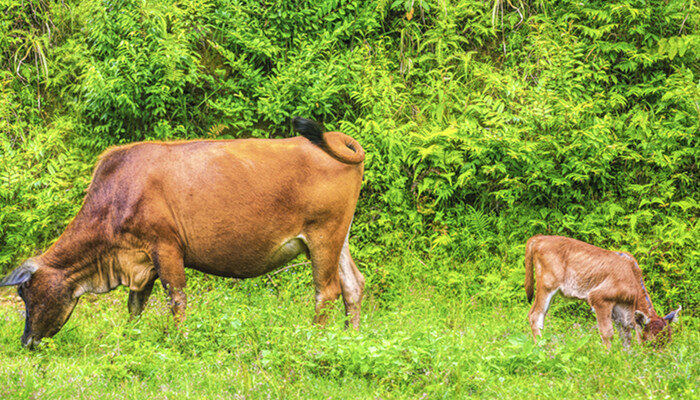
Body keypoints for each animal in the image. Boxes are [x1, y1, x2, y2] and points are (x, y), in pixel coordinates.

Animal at [1, 116, 366, 346]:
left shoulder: (165, 246)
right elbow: (135, 305)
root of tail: (335, 139)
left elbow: (175, 298)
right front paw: (130, 340)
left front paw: (179, 341)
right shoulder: (141, 260)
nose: (25, 341)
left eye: (25, 294)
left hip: (323, 235)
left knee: (327, 290)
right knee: (353, 284)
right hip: (339, 237)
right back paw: (351, 338)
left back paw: (315, 339)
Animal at [524, 234, 684, 346]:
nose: (657, 360)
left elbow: (626, 336)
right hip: (546, 285)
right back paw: (542, 348)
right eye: (651, 342)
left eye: (668, 340)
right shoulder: (600, 298)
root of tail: (539, 238)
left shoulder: (621, 309)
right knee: (535, 315)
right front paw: (610, 357)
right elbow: (608, 333)